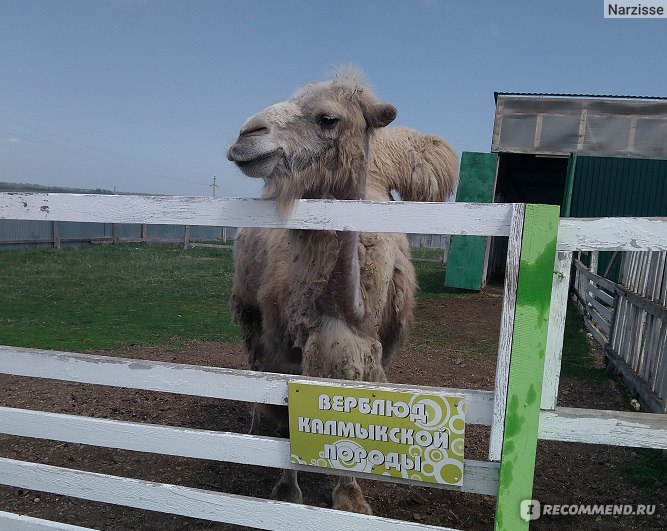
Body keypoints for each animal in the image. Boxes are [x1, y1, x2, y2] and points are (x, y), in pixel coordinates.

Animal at [227, 70, 456, 516]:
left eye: (328, 118)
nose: (246, 134)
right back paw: (255, 426)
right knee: (253, 368)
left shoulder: (373, 351)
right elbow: (289, 417)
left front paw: (350, 494)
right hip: (249, 313)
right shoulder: (288, 347)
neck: (345, 311)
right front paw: (287, 491)